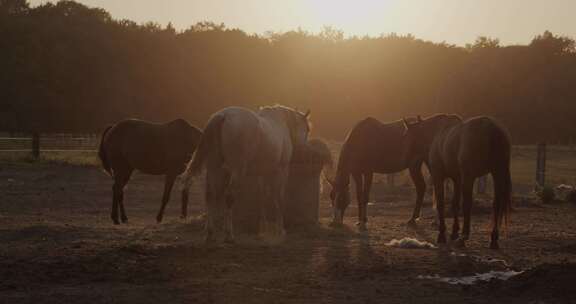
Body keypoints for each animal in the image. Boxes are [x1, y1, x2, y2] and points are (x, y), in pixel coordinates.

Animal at [183, 105, 310, 243]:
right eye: (307, 129)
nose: (304, 149)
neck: (280, 123)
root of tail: (223, 116)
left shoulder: (262, 173)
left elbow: (262, 197)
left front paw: (263, 227)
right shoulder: (281, 170)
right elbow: (278, 198)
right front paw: (280, 229)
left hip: (214, 168)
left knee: (210, 195)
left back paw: (210, 233)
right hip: (236, 170)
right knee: (229, 197)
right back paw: (229, 234)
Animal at [328, 114, 460, 230]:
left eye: (342, 199)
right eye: (332, 197)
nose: (335, 223)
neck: (359, 141)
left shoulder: (368, 172)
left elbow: (365, 196)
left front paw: (363, 222)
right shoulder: (356, 173)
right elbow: (359, 196)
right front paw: (360, 220)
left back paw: (434, 221)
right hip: (414, 166)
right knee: (421, 187)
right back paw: (413, 219)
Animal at [402, 115, 510, 248]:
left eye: (407, 137)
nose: (406, 159)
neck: (437, 133)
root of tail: (490, 128)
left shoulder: (439, 176)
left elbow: (441, 203)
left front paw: (442, 234)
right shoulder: (457, 179)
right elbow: (455, 204)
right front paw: (454, 232)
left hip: (470, 177)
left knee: (468, 204)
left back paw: (464, 237)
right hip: (497, 174)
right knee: (496, 204)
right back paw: (493, 239)